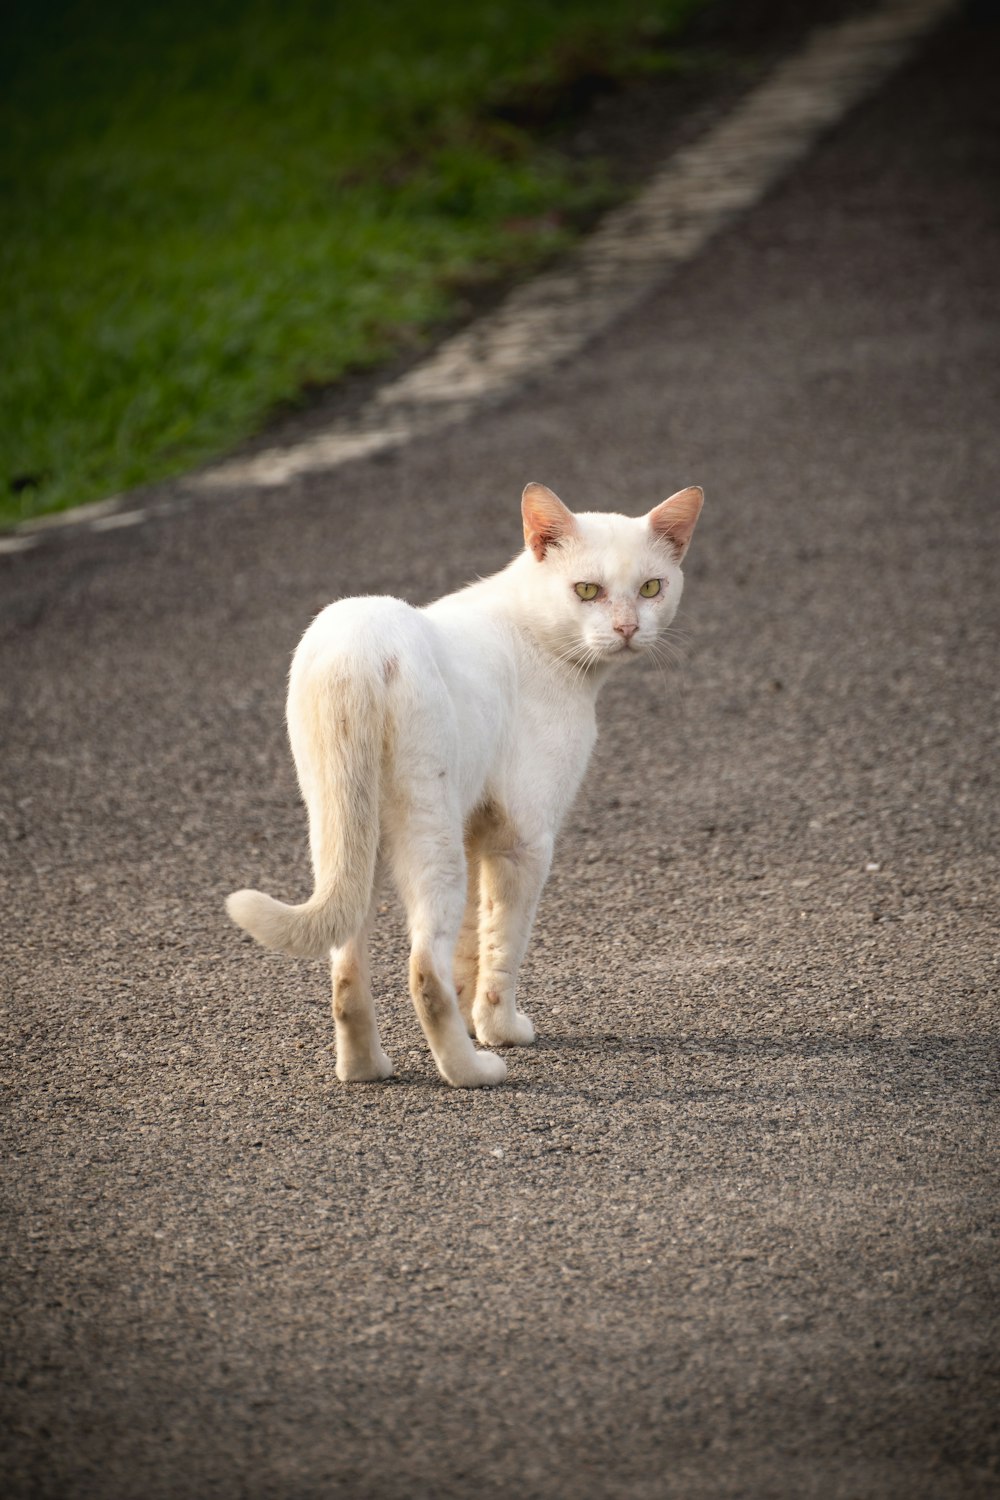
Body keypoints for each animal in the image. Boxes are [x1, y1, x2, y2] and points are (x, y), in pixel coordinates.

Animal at [224, 486, 704, 1086]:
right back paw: (472, 1071)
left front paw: (476, 1015)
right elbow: (503, 945)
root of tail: (360, 644)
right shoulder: (523, 837)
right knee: (423, 970)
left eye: (650, 588)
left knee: (347, 963)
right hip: (431, 829)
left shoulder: (481, 825)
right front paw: (499, 1029)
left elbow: (475, 940)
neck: (534, 633)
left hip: (344, 830)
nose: (626, 628)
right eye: (587, 590)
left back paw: (365, 1068)